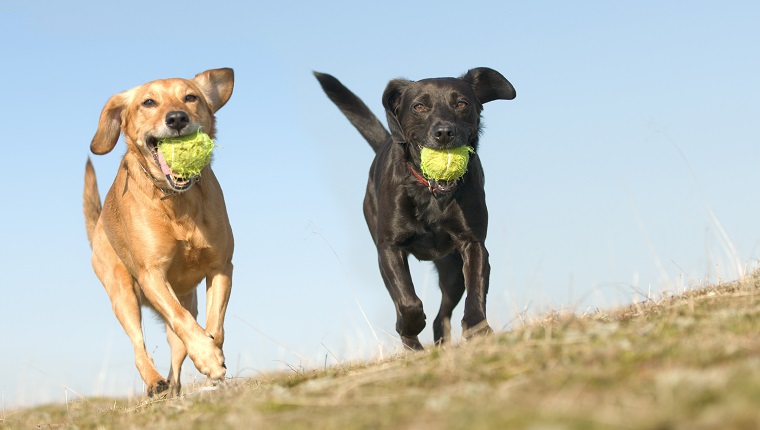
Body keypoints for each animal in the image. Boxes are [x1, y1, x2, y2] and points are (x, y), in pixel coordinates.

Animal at [83, 68, 235, 396]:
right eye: (148, 102)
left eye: (190, 97)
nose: (177, 118)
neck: (177, 201)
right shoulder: (151, 275)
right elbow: (180, 318)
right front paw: (207, 355)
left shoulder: (221, 267)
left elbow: (215, 325)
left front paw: (212, 354)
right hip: (122, 295)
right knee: (139, 348)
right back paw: (155, 383)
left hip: (184, 302)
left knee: (177, 355)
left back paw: (175, 388)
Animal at [314, 67, 516, 350]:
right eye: (419, 106)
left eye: (461, 104)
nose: (444, 132)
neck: (432, 193)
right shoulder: (389, 248)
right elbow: (408, 302)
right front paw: (408, 327)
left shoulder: (473, 243)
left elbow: (476, 290)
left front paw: (477, 330)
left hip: (452, 272)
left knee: (441, 317)